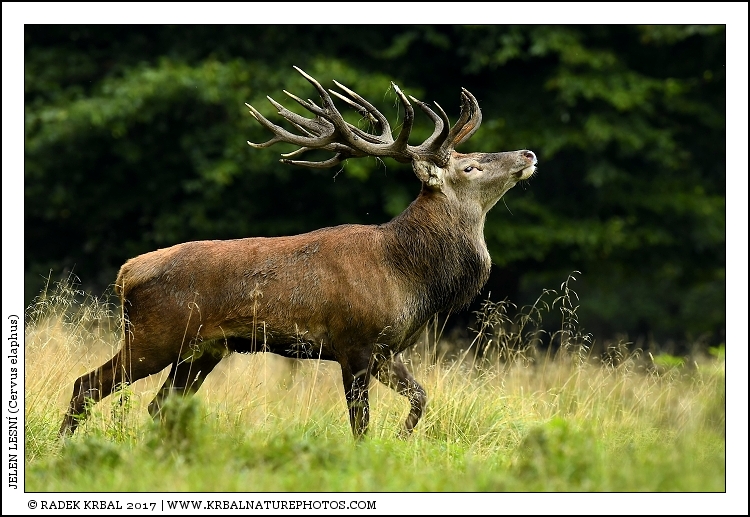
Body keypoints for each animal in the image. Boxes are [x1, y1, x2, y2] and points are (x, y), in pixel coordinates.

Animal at [58, 66, 537, 440]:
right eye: (470, 165)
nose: (528, 152)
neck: (410, 277)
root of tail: (126, 273)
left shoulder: (388, 350)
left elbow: (420, 398)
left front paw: (402, 438)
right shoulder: (354, 341)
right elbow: (360, 425)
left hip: (203, 349)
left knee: (159, 406)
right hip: (154, 334)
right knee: (87, 385)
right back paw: (64, 449)